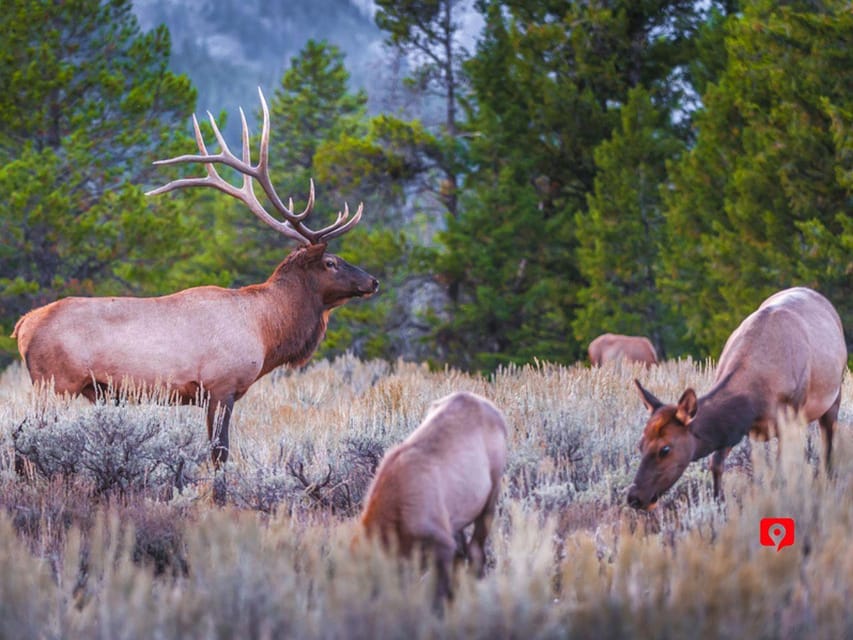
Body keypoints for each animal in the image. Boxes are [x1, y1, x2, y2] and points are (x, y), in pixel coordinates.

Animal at [11, 90, 378, 468]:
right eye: (332, 262)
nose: (373, 281)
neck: (266, 329)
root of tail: (23, 325)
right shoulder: (222, 385)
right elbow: (220, 452)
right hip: (56, 383)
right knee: (23, 434)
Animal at [624, 288, 844, 510]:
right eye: (640, 444)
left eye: (665, 448)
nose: (634, 497)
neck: (755, 399)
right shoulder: (737, 428)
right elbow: (716, 464)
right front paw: (718, 504)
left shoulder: (789, 419)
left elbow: (780, 472)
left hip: (833, 397)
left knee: (828, 446)